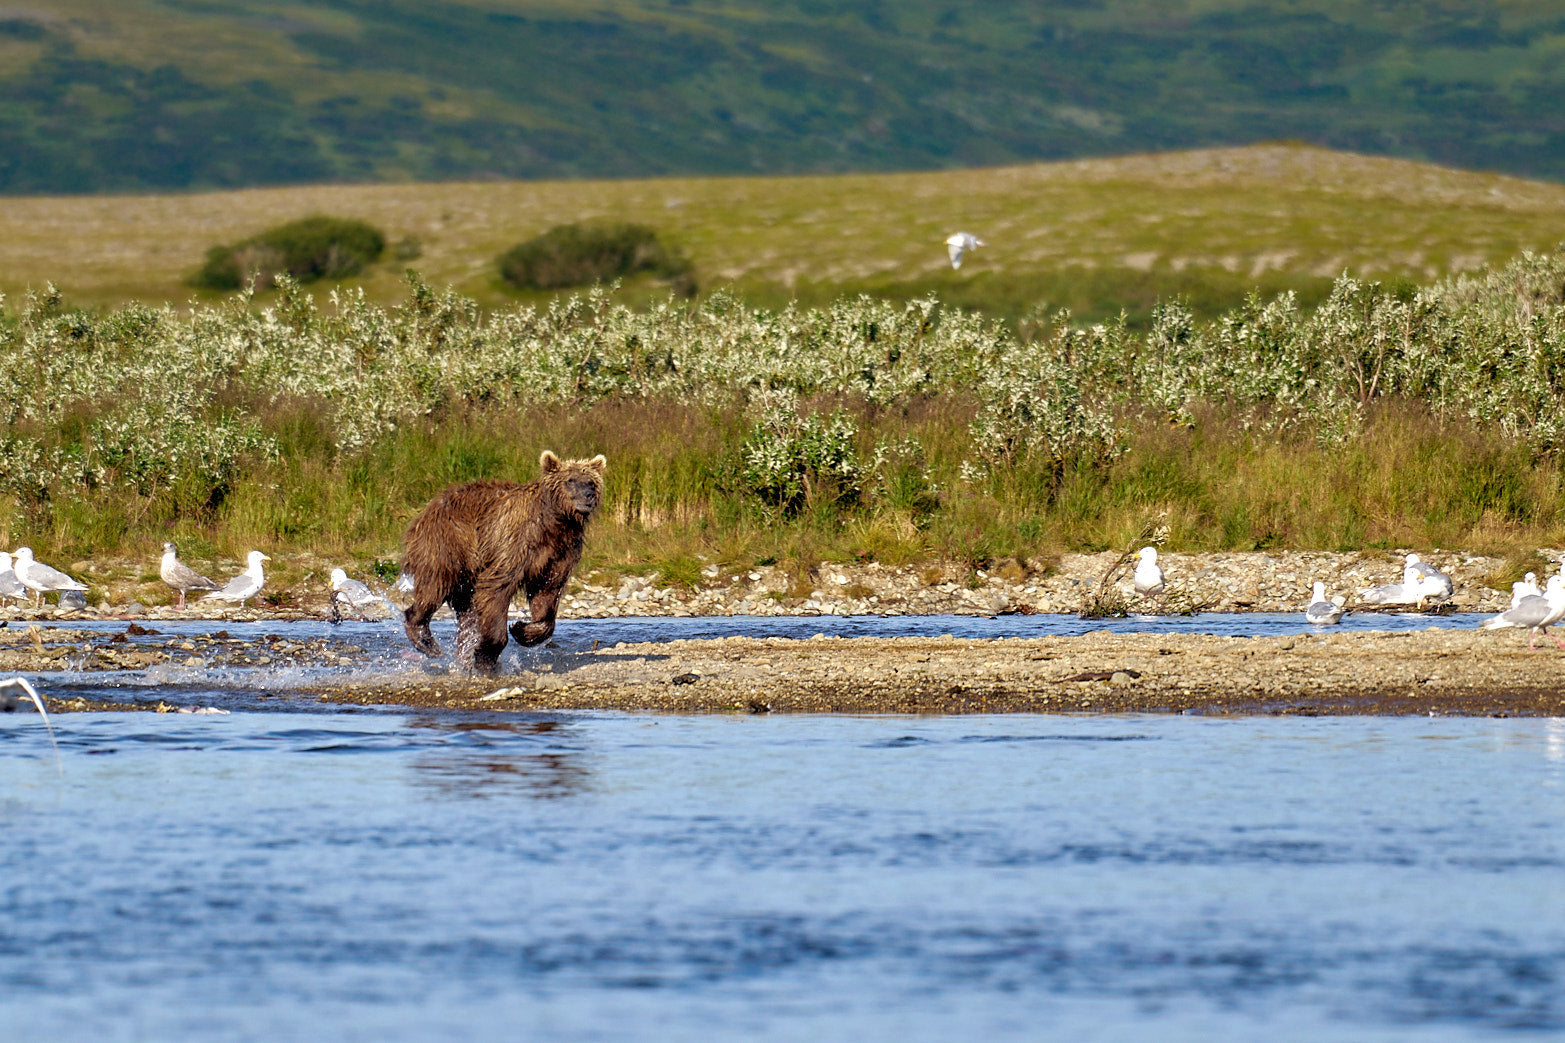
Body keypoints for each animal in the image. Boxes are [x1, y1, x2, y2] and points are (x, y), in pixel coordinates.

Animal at [401, 450, 606, 675]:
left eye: (591, 482)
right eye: (571, 480)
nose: (589, 495)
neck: (556, 523)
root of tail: (427, 509)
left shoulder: (559, 553)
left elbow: (547, 593)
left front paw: (523, 630)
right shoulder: (515, 543)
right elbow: (497, 588)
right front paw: (486, 656)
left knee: (466, 612)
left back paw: (463, 655)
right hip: (447, 544)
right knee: (434, 587)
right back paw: (425, 640)